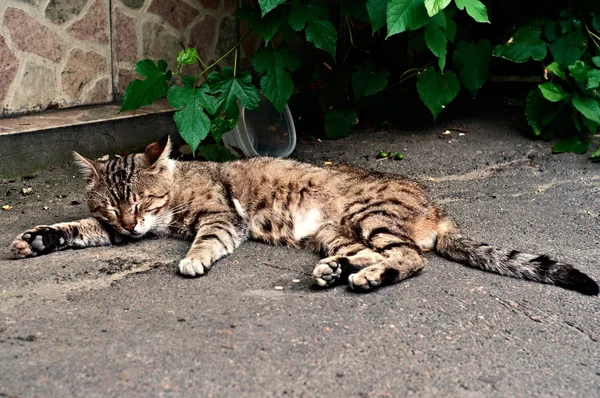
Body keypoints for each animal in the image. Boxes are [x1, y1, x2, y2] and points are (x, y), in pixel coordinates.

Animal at [9, 137, 600, 296]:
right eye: (113, 205)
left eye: (141, 201)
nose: (131, 225)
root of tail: (438, 208)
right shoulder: (107, 230)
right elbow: (74, 231)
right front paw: (37, 239)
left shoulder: (220, 217)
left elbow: (205, 240)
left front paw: (193, 259)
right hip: (337, 235)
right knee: (375, 255)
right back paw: (340, 272)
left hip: (368, 216)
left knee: (412, 259)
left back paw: (365, 279)